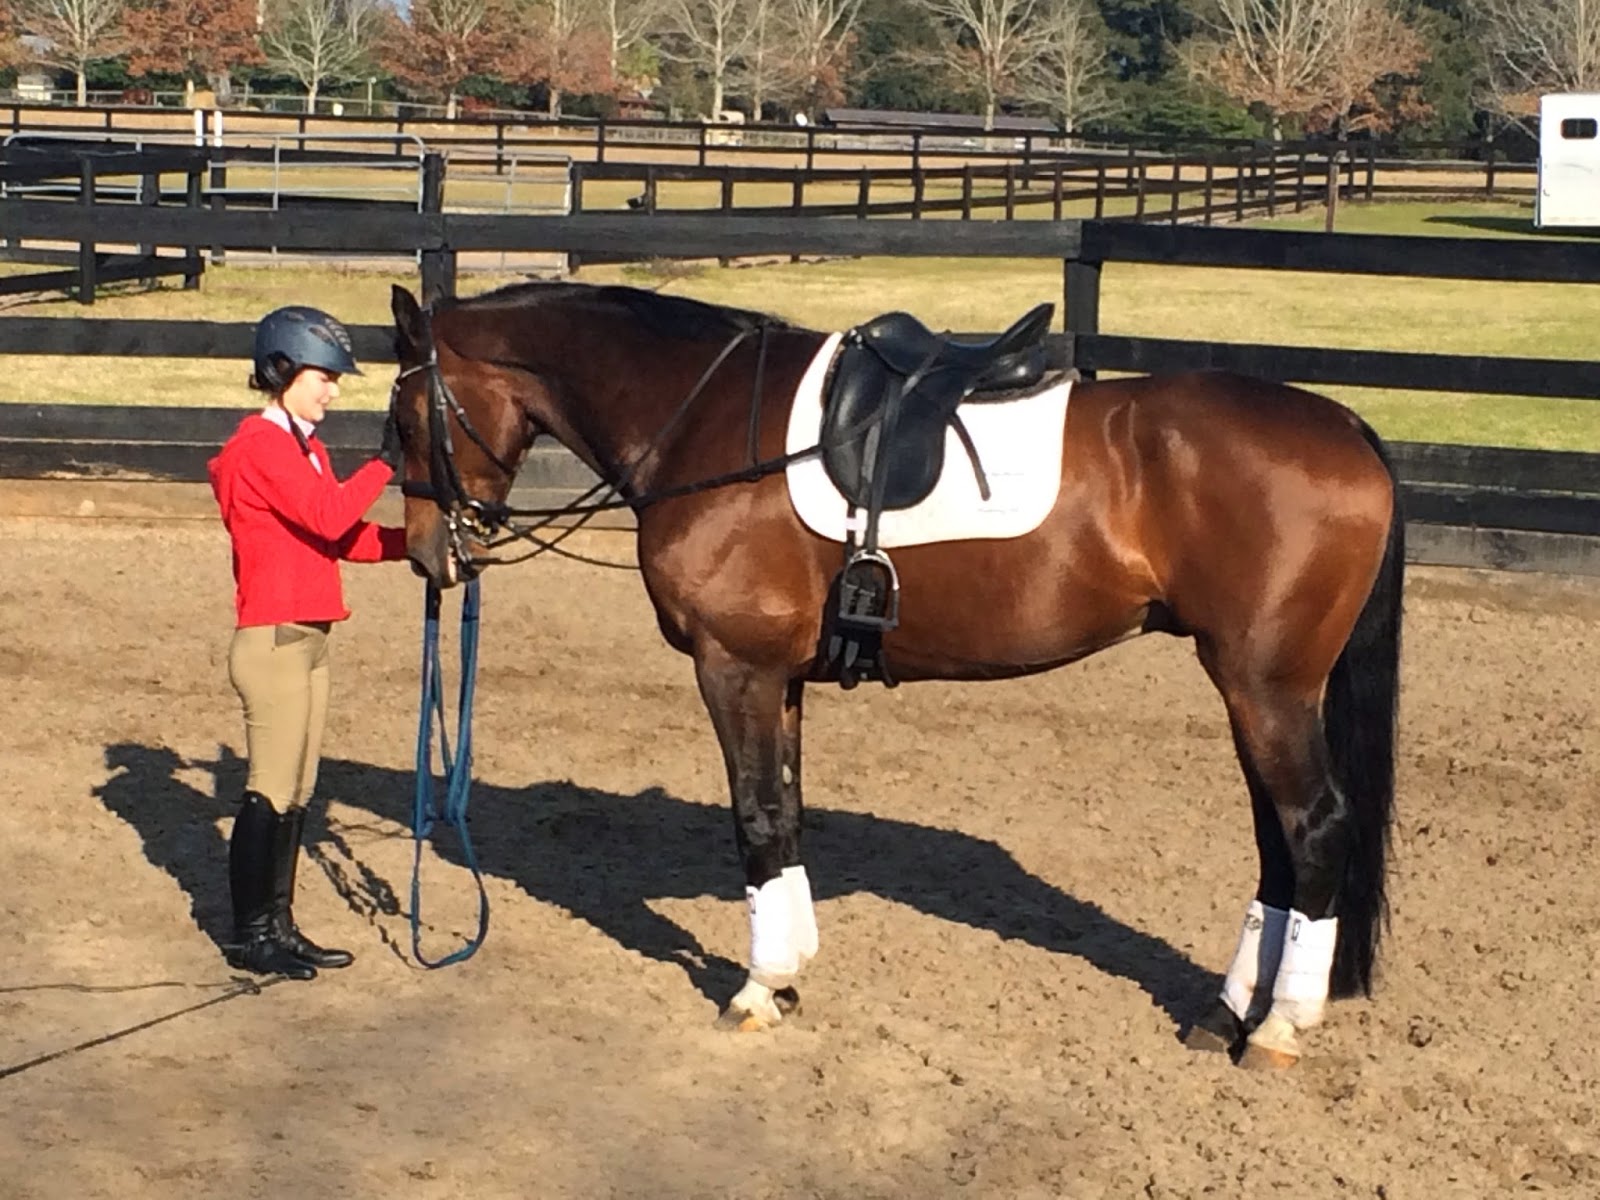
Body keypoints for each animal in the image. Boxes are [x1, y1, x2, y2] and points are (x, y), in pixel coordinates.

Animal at [386, 279, 1402, 1070]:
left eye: (404, 418)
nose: (430, 556)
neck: (706, 423)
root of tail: (1347, 425)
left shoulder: (734, 669)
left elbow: (755, 818)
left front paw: (756, 988)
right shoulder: (781, 677)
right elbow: (787, 813)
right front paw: (789, 973)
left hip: (1265, 688)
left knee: (1313, 830)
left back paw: (1275, 1027)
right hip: (1257, 691)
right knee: (1277, 843)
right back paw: (1227, 1013)